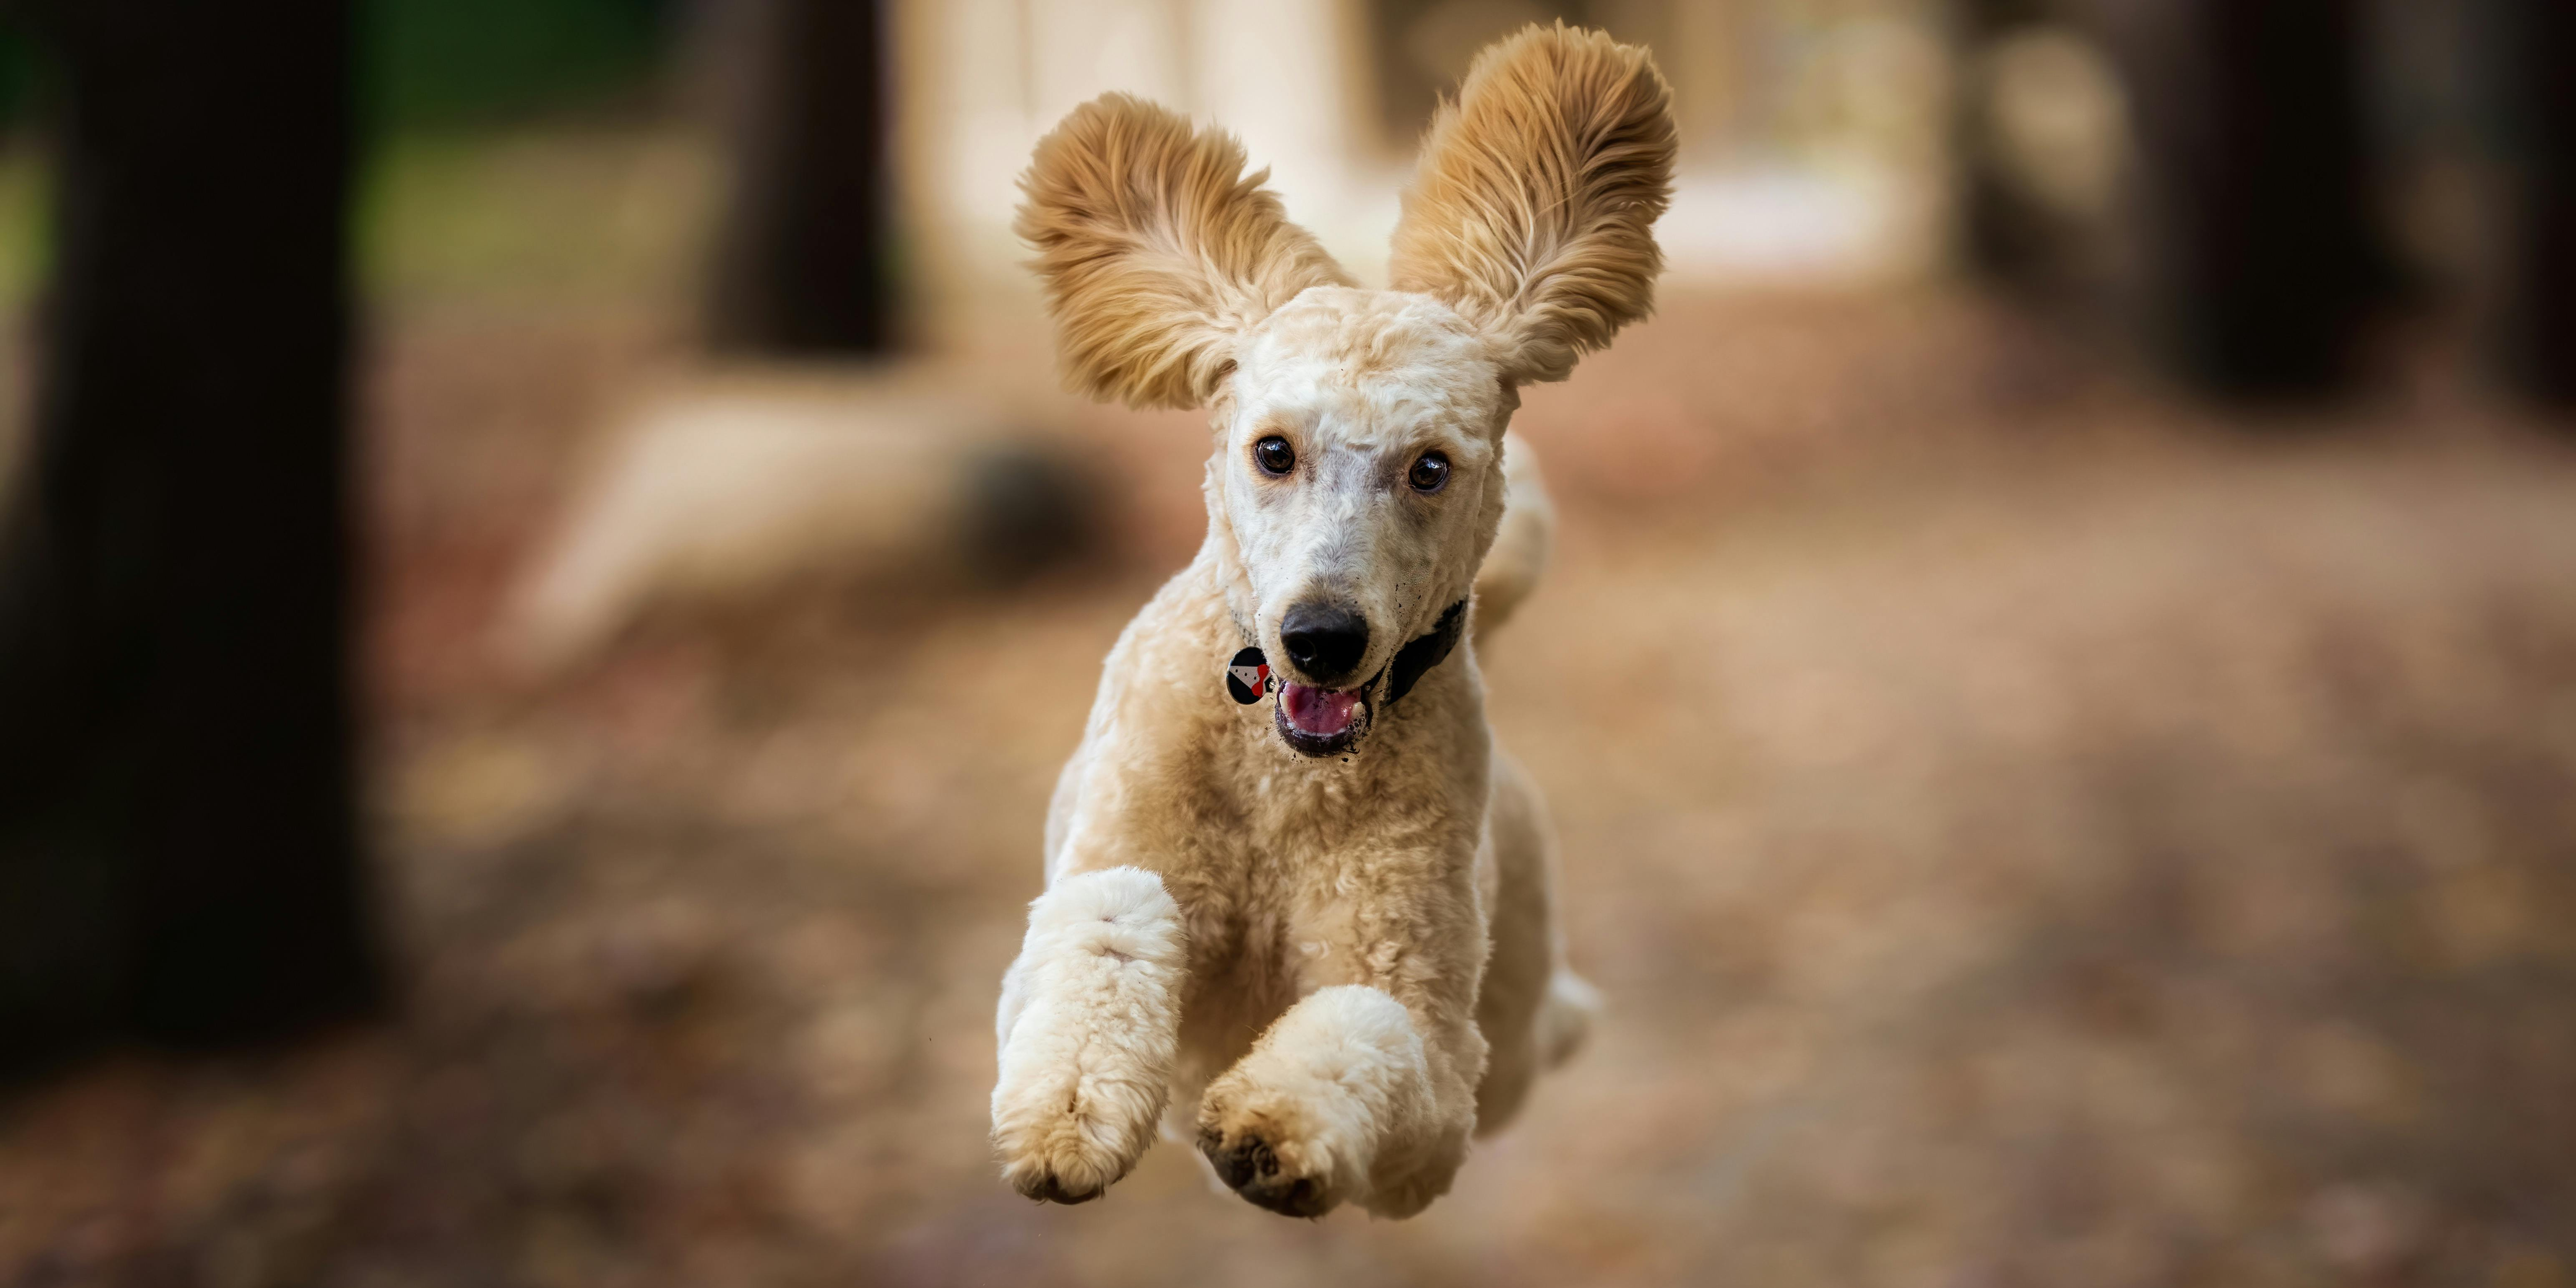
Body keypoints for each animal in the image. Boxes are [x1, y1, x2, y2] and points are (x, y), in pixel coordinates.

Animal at [978, 27, 1669, 1215]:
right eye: (1272, 451)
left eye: (1429, 467)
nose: (1321, 638)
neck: (1285, 782)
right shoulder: (1083, 897)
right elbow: (1110, 917)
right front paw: (1069, 1119)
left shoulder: (1434, 1093)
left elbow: (1372, 1024)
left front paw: (1269, 1128)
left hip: (1514, 1021)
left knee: (1536, 1032)